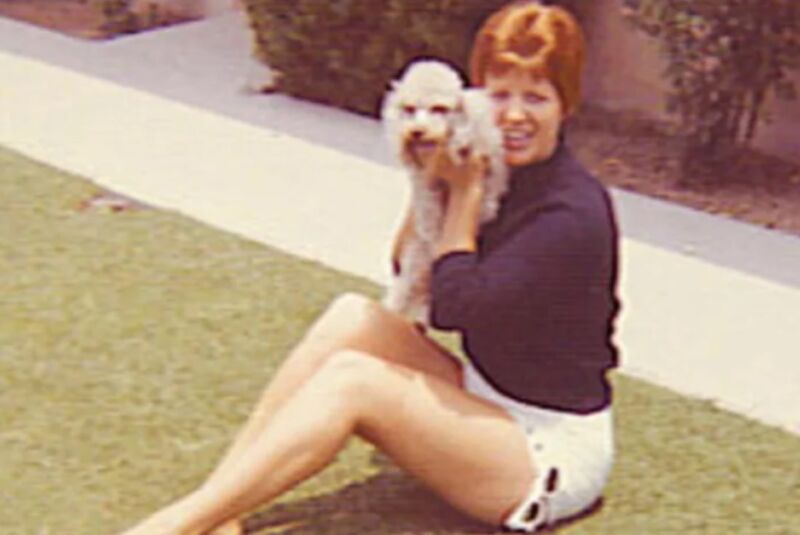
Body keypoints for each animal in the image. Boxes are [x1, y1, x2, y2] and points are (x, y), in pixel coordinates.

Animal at [380, 59, 506, 326]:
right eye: (409, 109)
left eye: (439, 108)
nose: (416, 131)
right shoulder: (424, 184)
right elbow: (430, 210)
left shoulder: (492, 163)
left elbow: (490, 190)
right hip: (414, 265)